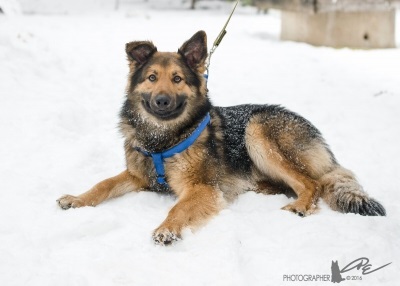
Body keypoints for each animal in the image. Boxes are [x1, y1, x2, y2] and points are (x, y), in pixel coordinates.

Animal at [56, 30, 384, 246]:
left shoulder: (202, 188)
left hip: (257, 130)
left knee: (312, 183)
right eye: (151, 78)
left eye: (177, 79)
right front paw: (78, 199)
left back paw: (300, 205)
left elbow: (178, 207)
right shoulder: (137, 174)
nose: (162, 100)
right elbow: (103, 184)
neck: (162, 140)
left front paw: (168, 228)